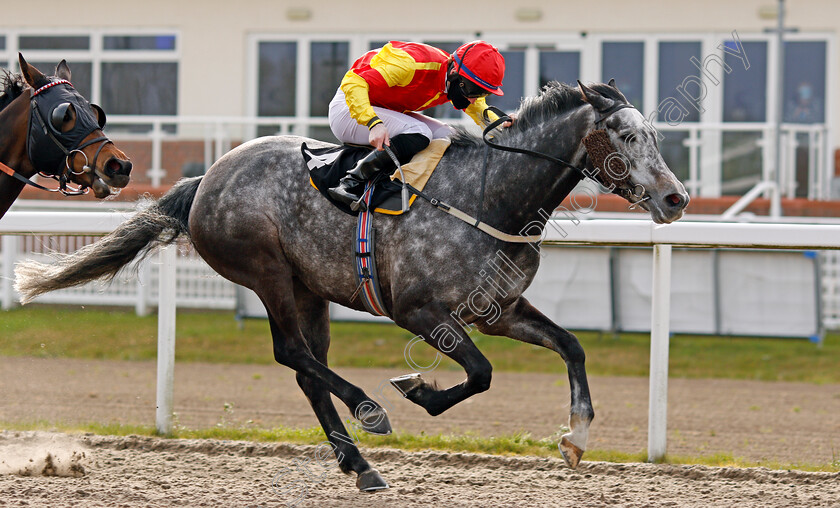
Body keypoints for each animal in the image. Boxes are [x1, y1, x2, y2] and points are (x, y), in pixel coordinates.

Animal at [13, 81, 688, 494]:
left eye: (653, 134)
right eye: (626, 137)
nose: (676, 199)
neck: (491, 195)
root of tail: (208, 177)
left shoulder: (497, 308)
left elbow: (571, 345)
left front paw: (576, 438)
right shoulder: (418, 310)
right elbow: (480, 373)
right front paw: (416, 389)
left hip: (308, 287)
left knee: (307, 367)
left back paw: (359, 464)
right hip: (267, 271)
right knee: (292, 352)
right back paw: (370, 412)